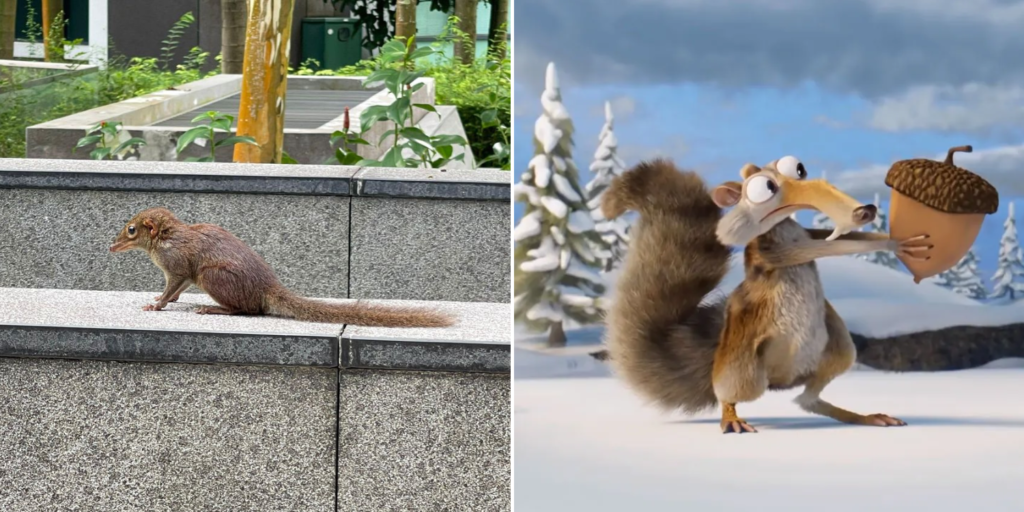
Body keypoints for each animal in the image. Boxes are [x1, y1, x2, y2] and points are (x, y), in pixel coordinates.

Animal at [109, 207, 454, 328]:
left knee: (247, 310)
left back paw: (214, 309)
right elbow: (177, 290)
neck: (168, 236)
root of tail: (267, 288)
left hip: (212, 276)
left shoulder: (178, 266)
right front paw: (169, 300)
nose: (111, 246)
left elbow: (172, 286)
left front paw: (157, 304)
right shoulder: (181, 275)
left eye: (130, 230)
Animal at [599, 157, 932, 433]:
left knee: (809, 398)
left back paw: (861, 416)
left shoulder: (803, 233)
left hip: (837, 345)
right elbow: (823, 247)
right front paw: (892, 243)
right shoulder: (775, 250)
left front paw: (885, 236)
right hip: (743, 362)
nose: (865, 210)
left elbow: (834, 238)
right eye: (764, 188)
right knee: (730, 392)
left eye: (798, 169)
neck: (781, 224)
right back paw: (730, 417)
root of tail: (781, 381)